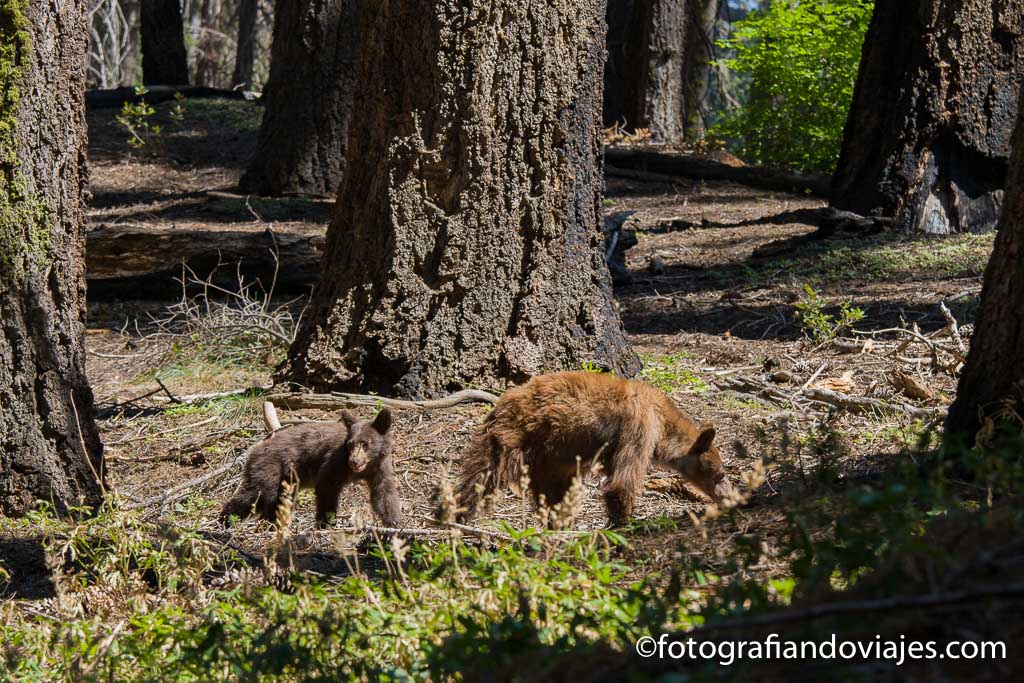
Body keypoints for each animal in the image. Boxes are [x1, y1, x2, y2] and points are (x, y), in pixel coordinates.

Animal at [220, 409, 399, 532]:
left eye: (365, 444)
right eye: (350, 444)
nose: (353, 461)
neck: (366, 467)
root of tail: (254, 450)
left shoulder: (379, 468)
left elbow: (384, 494)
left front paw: (395, 524)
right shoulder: (336, 462)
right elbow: (327, 488)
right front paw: (326, 523)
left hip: (286, 482)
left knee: (277, 501)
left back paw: (275, 524)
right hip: (270, 469)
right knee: (254, 494)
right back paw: (226, 520)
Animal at [454, 370, 729, 528]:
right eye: (720, 473)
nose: (729, 497)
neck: (662, 420)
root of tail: (503, 404)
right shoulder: (638, 426)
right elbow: (622, 482)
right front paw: (625, 524)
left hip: (533, 450)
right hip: (511, 439)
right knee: (483, 478)